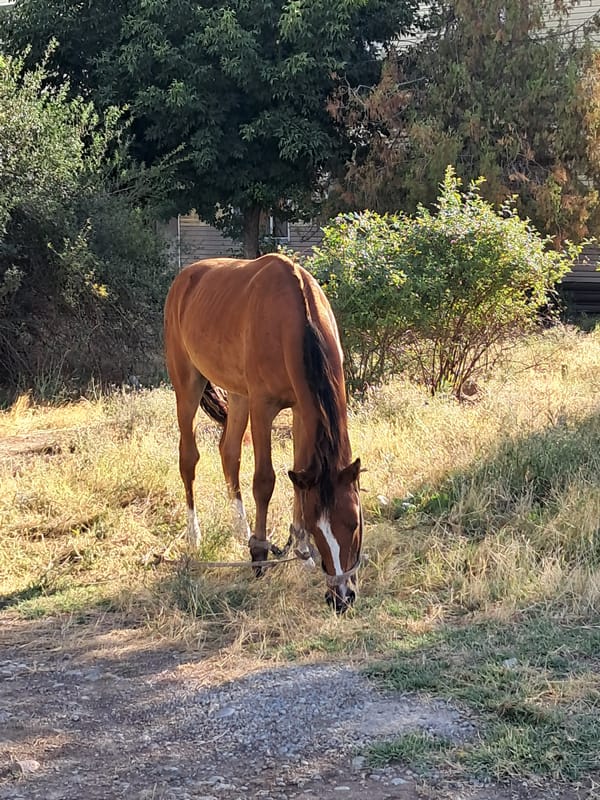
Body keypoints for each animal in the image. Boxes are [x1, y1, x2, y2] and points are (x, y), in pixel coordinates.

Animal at [164, 253, 363, 612]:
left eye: (354, 522)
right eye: (318, 528)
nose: (341, 597)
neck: (294, 319)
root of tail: (184, 277)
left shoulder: (301, 409)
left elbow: (299, 475)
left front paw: (300, 551)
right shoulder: (262, 407)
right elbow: (264, 481)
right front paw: (259, 554)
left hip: (237, 394)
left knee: (229, 452)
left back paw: (240, 528)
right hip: (188, 386)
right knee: (189, 459)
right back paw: (195, 535)